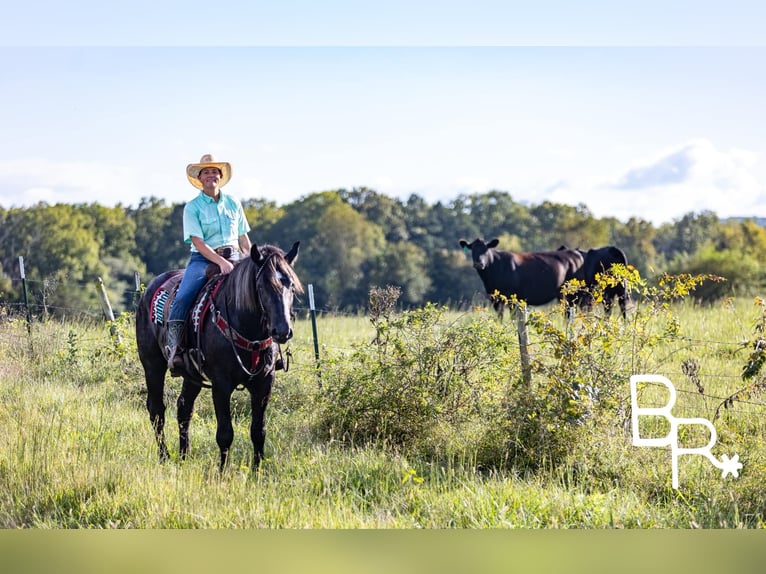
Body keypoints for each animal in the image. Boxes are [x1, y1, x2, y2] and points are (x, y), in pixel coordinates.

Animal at [135, 242, 302, 471]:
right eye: (263, 287)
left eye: (291, 286)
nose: (283, 331)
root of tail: (148, 291)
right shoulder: (221, 384)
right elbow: (225, 433)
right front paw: (222, 472)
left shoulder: (264, 383)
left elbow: (258, 431)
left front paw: (257, 470)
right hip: (152, 366)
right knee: (157, 411)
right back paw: (164, 457)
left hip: (192, 375)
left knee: (183, 408)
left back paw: (184, 456)